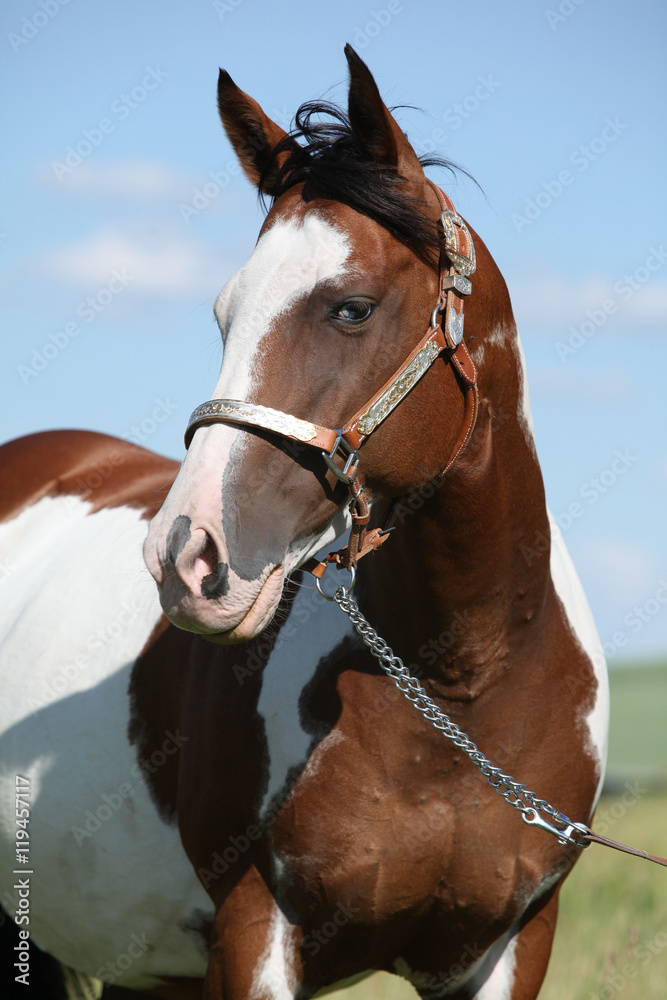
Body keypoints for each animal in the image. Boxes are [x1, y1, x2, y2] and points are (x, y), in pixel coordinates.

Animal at [0, 45, 608, 1000]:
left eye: (349, 306)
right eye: (223, 313)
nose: (185, 556)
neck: (461, 690)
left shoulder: (510, 944)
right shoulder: (253, 932)